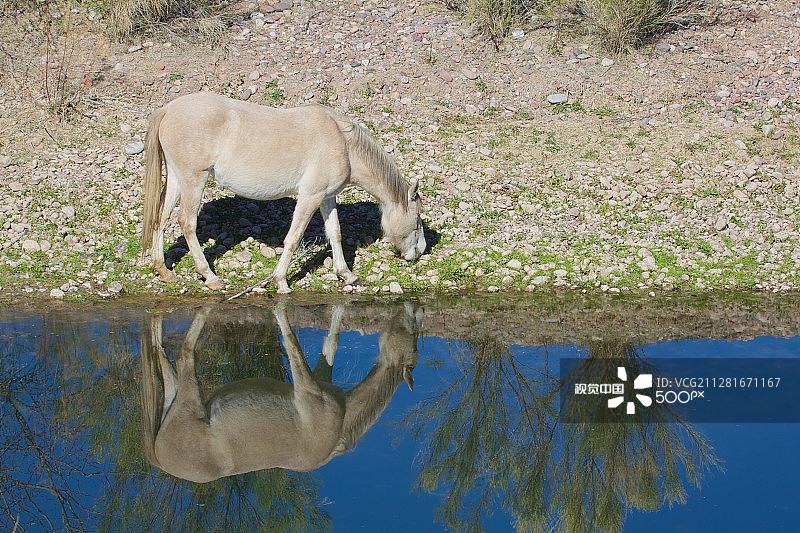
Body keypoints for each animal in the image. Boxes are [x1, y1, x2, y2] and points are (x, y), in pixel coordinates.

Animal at [140, 91, 426, 293]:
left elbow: (335, 233)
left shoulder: (326, 197)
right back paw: (210, 277)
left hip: (177, 179)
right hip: (194, 179)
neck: (344, 143)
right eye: (417, 221)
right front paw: (281, 282)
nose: (420, 251)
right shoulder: (310, 196)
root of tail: (168, 109)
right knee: (186, 222)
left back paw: (163, 271)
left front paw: (347, 275)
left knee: (161, 218)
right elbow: (294, 237)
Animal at [140, 303, 422, 483]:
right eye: (414, 344)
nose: (414, 317)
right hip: (190, 400)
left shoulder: (320, 380)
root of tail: (159, 458)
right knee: (184, 356)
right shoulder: (308, 388)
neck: (341, 422)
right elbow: (291, 342)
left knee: (165, 362)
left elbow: (331, 343)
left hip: (174, 399)